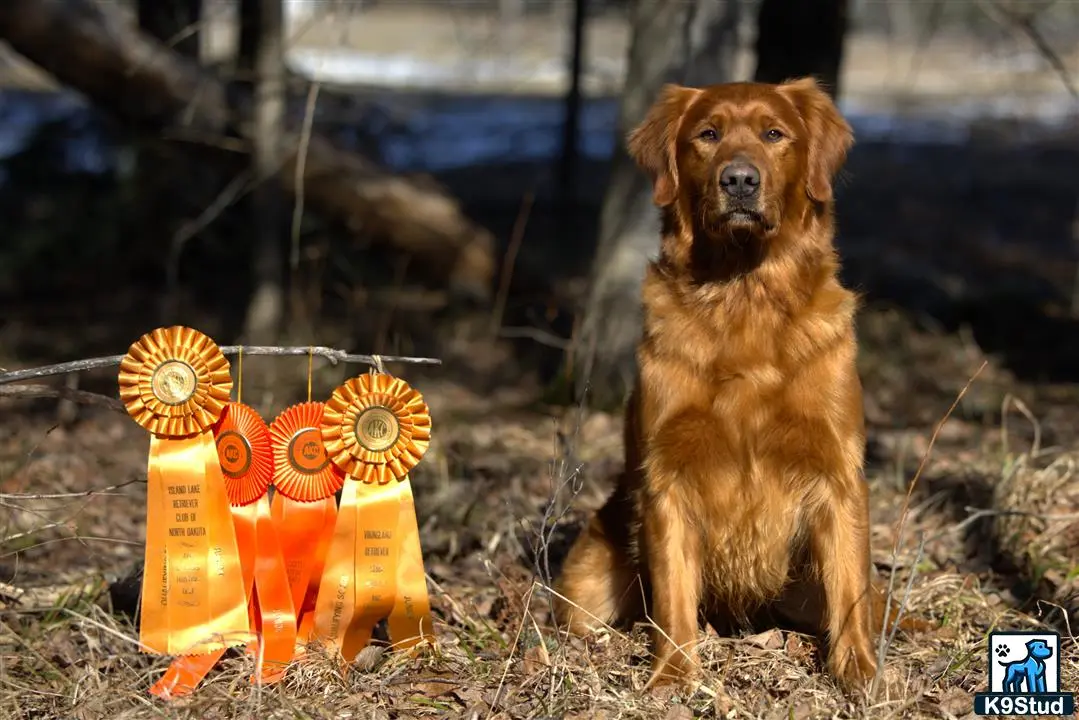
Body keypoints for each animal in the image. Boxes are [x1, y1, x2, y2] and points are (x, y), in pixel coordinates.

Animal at [556, 77, 919, 690]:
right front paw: (674, 676)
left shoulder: (838, 474)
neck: (744, 294)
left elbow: (849, 589)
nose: (740, 180)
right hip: (589, 579)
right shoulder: (667, 478)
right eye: (708, 134)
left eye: (774, 133)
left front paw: (858, 673)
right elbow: (674, 594)